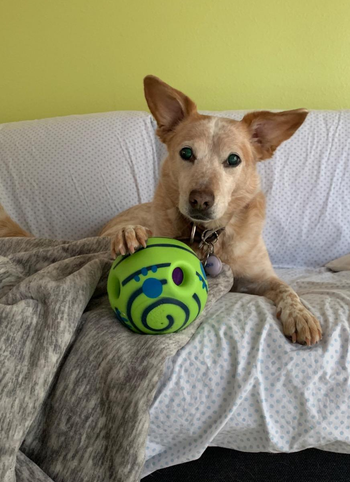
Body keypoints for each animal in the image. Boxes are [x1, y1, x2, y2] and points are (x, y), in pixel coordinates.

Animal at [0, 75, 322, 344]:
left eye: (233, 160)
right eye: (186, 153)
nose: (200, 200)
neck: (208, 237)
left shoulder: (261, 277)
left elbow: (287, 289)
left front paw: (302, 315)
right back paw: (130, 233)